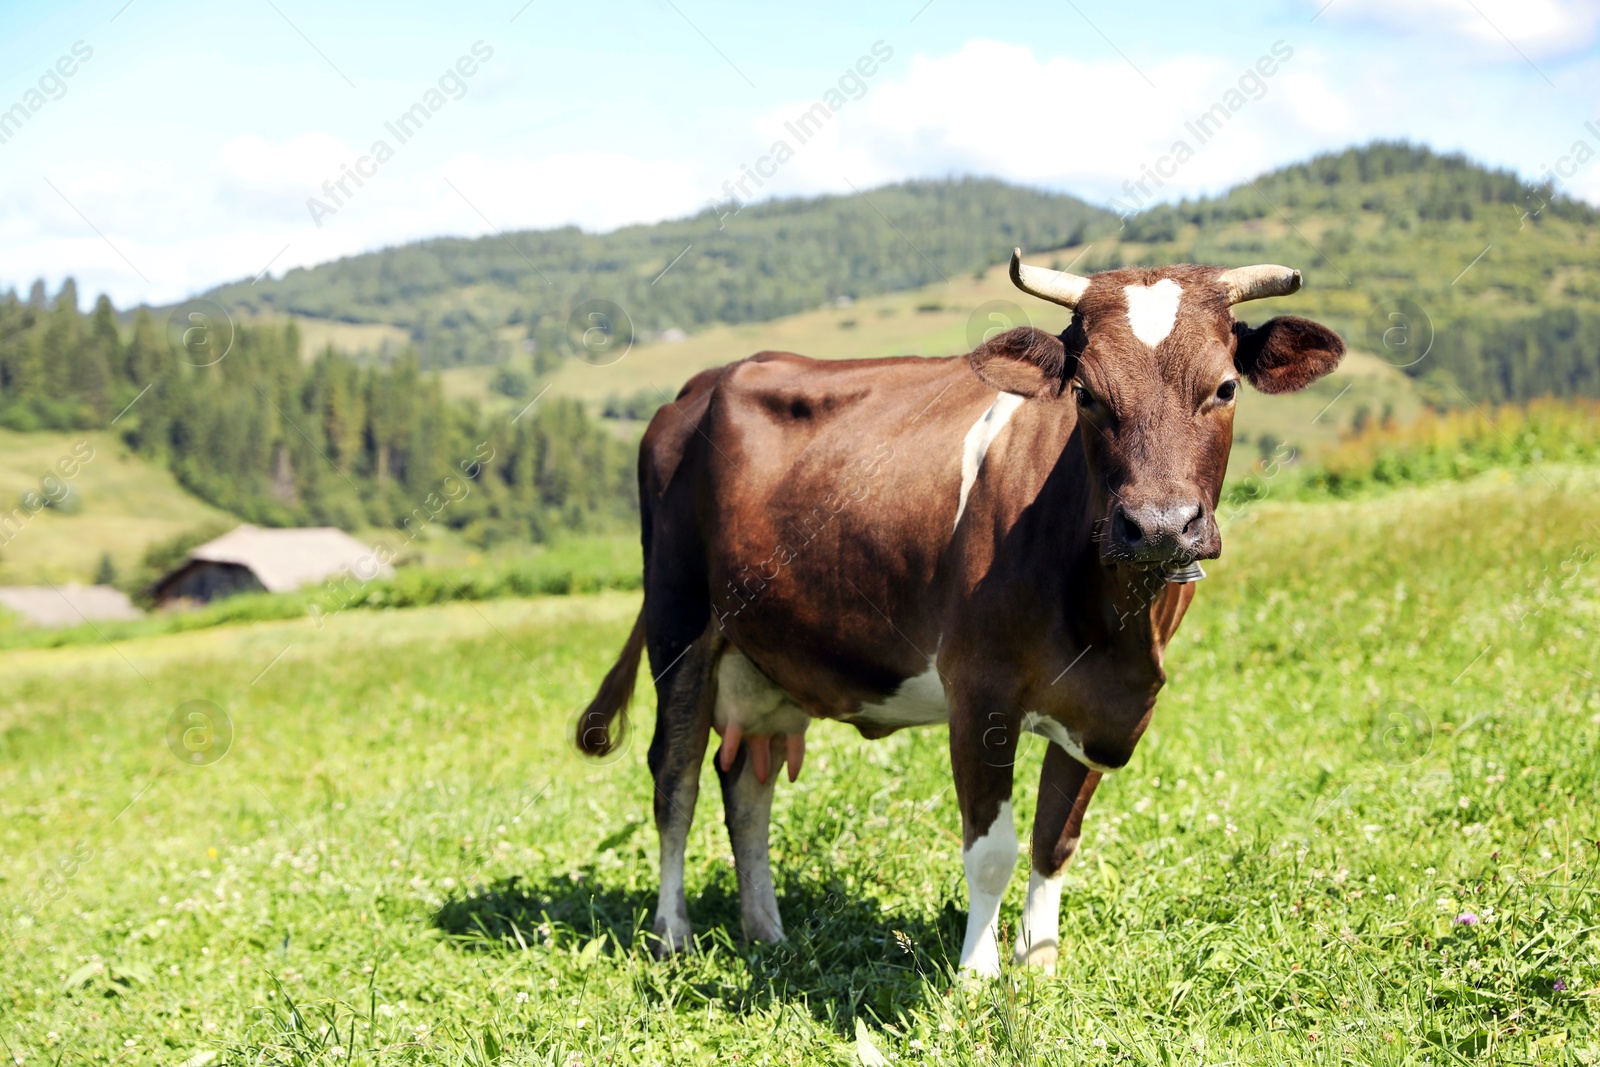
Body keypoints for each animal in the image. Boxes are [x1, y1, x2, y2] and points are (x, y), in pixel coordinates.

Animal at [576, 251, 1337, 979]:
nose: (1158, 525)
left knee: (745, 784)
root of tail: (702, 383)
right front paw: (977, 974)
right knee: (675, 778)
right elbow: (991, 847)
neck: (1115, 624)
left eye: (1225, 387)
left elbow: (1054, 839)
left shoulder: (1103, 709)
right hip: (679, 622)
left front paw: (1039, 962)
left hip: (767, 654)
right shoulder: (979, 690)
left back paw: (767, 931)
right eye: (1086, 394)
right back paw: (672, 934)